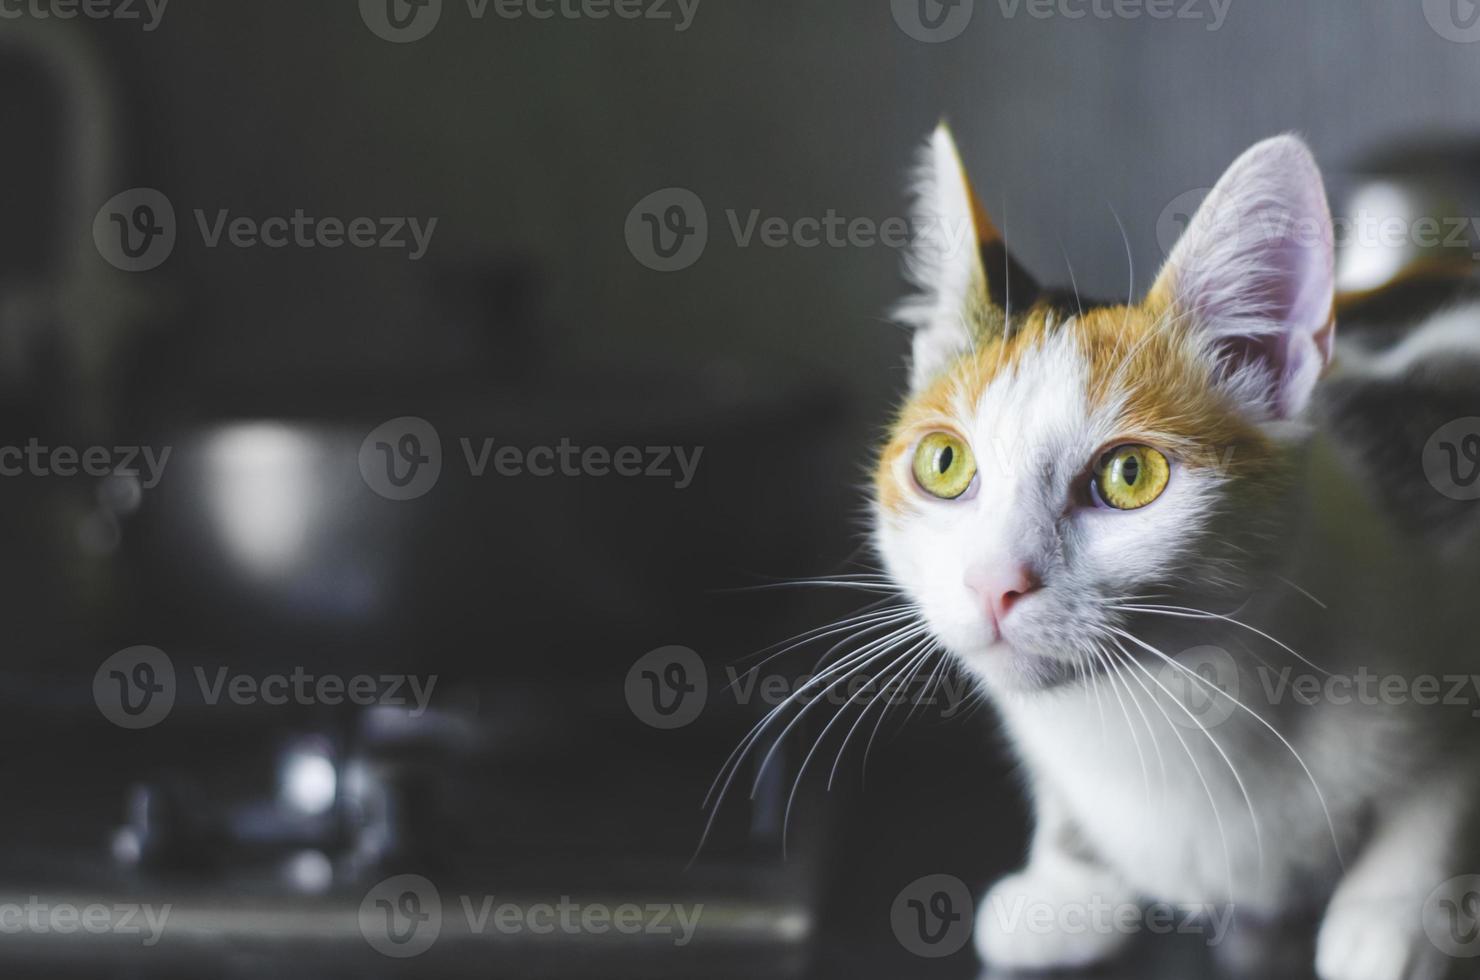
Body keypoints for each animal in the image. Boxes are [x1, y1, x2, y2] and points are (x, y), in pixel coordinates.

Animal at [870, 126, 1480, 980]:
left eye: (1130, 475)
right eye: (944, 464)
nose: (994, 583)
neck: (1167, 699)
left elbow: (1443, 791)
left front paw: (1393, 919)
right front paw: (1067, 884)